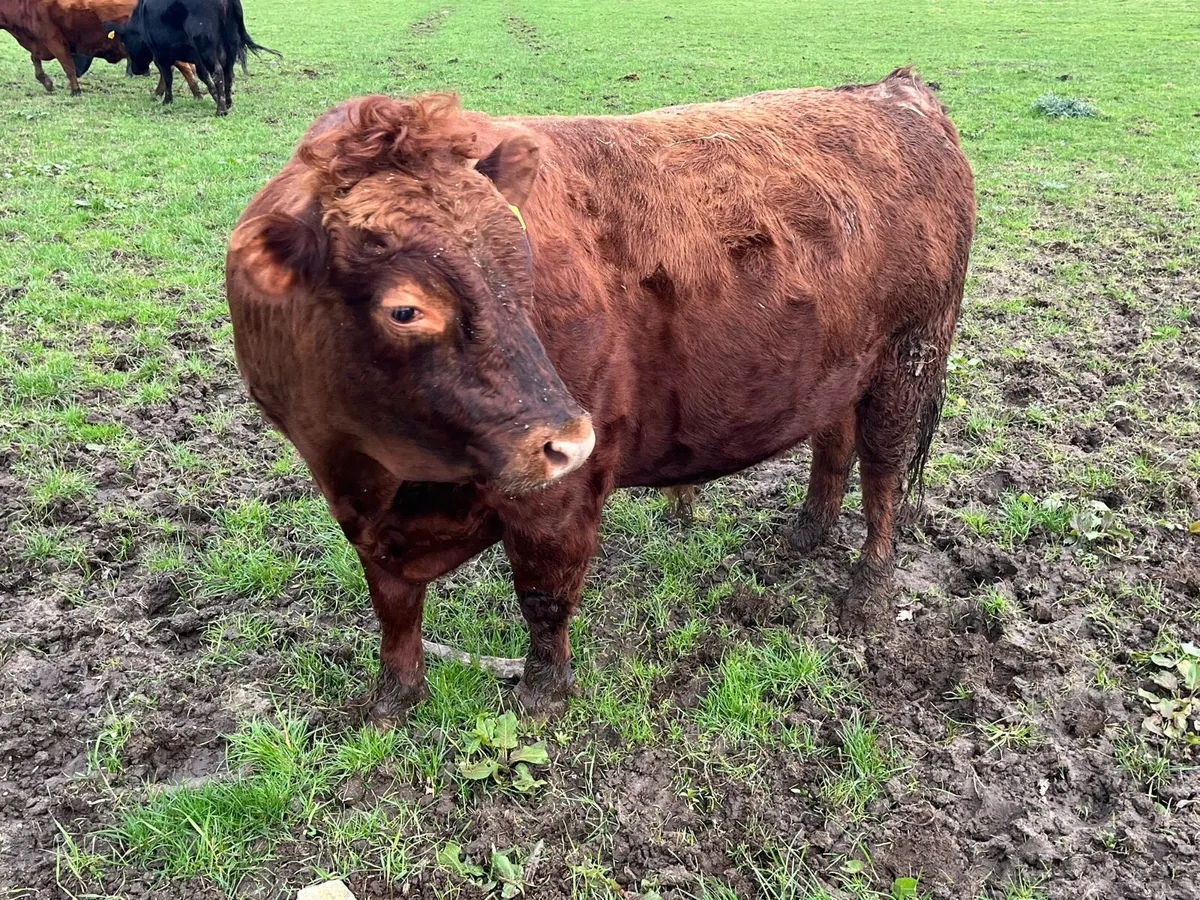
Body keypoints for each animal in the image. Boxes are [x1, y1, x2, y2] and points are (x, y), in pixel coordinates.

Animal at [0, 0, 201, 98]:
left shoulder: (53, 39)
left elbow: (68, 67)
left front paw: (75, 90)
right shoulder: (39, 43)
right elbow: (35, 60)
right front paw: (46, 82)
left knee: (182, 66)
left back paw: (196, 92)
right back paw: (160, 92)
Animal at [107, 0, 279, 115]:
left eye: (124, 42)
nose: (135, 70)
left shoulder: (161, 55)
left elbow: (168, 77)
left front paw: (167, 100)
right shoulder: (195, 56)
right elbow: (202, 75)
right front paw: (213, 95)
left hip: (206, 47)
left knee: (218, 72)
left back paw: (221, 110)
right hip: (230, 45)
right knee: (228, 73)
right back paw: (227, 102)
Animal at [225, 68, 976, 720]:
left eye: (520, 264)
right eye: (405, 309)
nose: (570, 436)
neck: (389, 477)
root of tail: (893, 92)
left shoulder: (558, 498)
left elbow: (543, 592)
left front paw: (541, 695)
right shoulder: (363, 515)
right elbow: (394, 606)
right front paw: (392, 701)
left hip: (910, 356)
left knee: (883, 475)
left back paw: (867, 592)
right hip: (842, 367)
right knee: (833, 442)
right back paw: (806, 534)